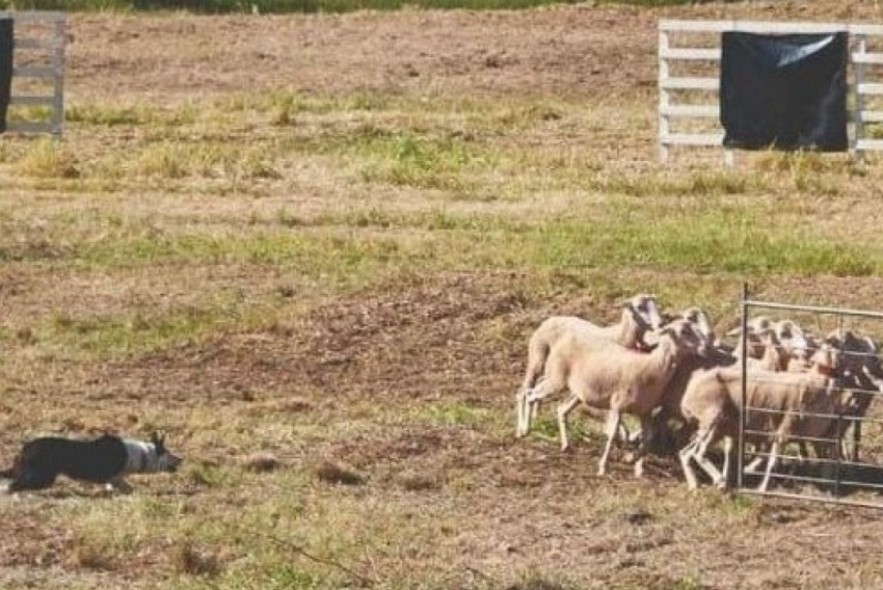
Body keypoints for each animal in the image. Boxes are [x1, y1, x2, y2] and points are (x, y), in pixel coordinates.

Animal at [516, 294, 660, 440]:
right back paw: (522, 429)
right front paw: (620, 432)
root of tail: (550, 319)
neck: (620, 336)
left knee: (537, 385)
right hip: (537, 358)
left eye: (655, 304)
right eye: (640, 307)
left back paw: (535, 415)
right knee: (523, 391)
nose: (660, 323)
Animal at [520, 322, 700, 478]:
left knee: (561, 409)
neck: (652, 367)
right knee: (530, 394)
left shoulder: (644, 411)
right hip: (556, 380)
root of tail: (563, 340)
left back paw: (565, 445)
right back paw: (524, 430)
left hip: (578, 393)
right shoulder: (617, 406)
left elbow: (647, 438)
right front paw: (603, 467)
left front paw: (636, 465)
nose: (702, 346)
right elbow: (612, 434)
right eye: (684, 331)